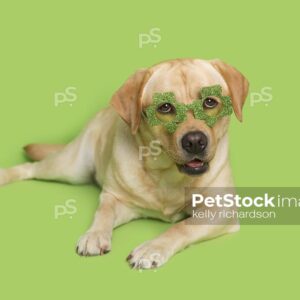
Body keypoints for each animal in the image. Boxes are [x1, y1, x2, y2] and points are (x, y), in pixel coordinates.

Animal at [0, 58, 248, 270]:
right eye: (165, 107)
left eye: (210, 102)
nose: (195, 141)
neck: (167, 174)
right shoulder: (115, 198)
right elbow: (103, 212)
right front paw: (94, 235)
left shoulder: (221, 210)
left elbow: (180, 227)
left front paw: (152, 248)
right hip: (69, 168)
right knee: (31, 168)